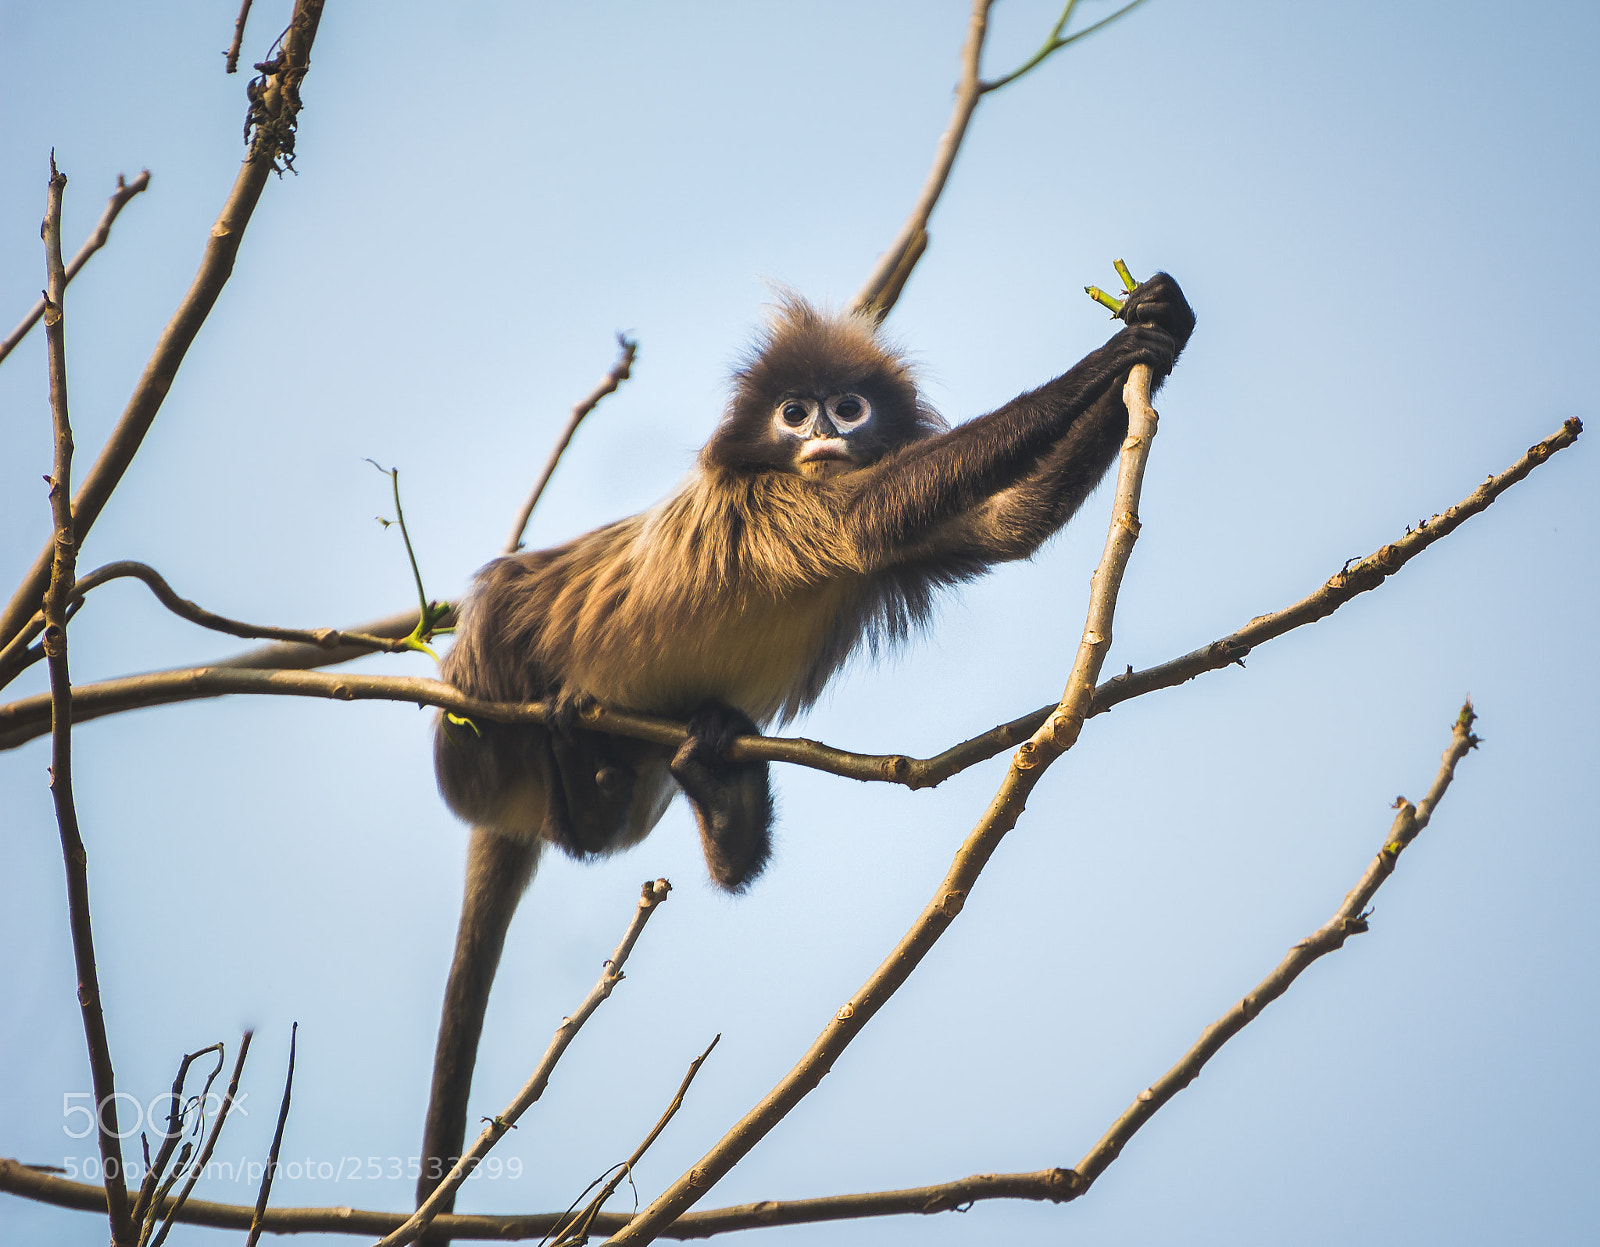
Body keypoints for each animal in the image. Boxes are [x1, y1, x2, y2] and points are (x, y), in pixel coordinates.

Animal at [417, 274, 1194, 1234]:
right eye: (793, 413)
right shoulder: (770, 500)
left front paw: (1162, 326)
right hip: (482, 696)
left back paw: (701, 786)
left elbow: (1006, 525)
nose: (822, 432)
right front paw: (1109, 357)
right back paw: (570, 752)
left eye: (848, 407)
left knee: (613, 821)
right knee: (507, 628)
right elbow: (869, 516)